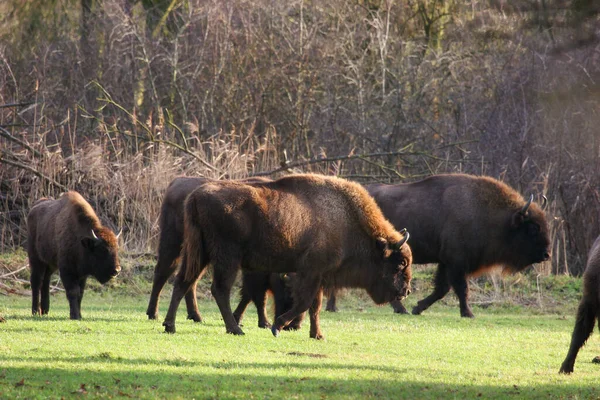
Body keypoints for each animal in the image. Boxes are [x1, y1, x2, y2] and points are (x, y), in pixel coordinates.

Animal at [27, 192, 121, 320]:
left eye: (117, 248)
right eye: (102, 249)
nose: (117, 270)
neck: (82, 242)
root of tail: (33, 209)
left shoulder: (82, 274)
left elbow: (80, 293)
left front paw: (79, 315)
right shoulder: (67, 270)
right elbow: (73, 291)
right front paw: (74, 315)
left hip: (50, 264)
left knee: (45, 281)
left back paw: (45, 311)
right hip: (36, 259)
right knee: (36, 282)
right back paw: (35, 311)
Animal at [145, 177, 302, 330]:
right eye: (289, 291)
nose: (294, 325)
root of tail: (177, 181)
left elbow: (249, 295)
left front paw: (240, 319)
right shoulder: (254, 271)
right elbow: (257, 296)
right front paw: (262, 323)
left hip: (197, 253)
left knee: (189, 280)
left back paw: (195, 316)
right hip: (172, 245)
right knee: (163, 272)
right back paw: (153, 314)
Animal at [161, 173, 412, 340]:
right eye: (399, 263)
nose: (406, 291)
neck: (345, 221)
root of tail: (195, 196)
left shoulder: (317, 276)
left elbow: (314, 307)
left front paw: (317, 335)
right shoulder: (312, 272)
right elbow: (304, 303)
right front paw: (278, 326)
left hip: (199, 254)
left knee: (183, 281)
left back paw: (169, 325)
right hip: (226, 259)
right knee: (219, 290)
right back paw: (236, 329)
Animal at [326, 173, 552, 318]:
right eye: (533, 228)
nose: (547, 254)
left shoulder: (446, 262)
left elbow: (442, 288)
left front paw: (418, 308)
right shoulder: (456, 262)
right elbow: (460, 288)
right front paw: (468, 313)